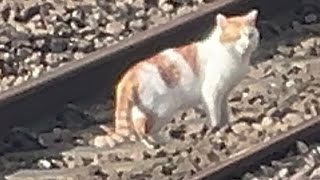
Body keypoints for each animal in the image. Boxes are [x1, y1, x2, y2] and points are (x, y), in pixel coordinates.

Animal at [92, 9, 260, 148]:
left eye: (250, 35)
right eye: (236, 37)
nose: (246, 45)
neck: (235, 57)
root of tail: (129, 76)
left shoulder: (224, 93)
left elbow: (224, 110)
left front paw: (227, 124)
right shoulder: (211, 93)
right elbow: (214, 113)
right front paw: (216, 128)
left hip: (141, 110)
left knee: (137, 127)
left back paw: (150, 144)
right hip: (163, 110)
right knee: (146, 129)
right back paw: (161, 141)